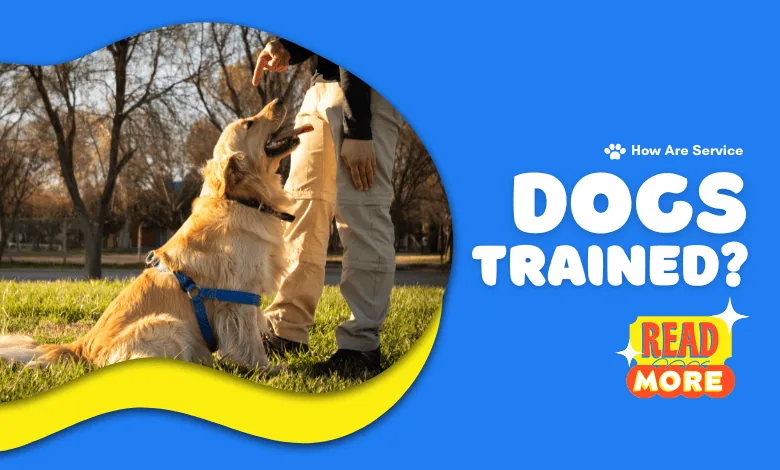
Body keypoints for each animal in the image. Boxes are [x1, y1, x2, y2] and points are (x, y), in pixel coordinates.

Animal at [0, 98, 310, 370]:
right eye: (249, 123)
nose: (280, 100)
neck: (241, 199)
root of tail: (81, 347)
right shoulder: (239, 296)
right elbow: (250, 340)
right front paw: (266, 368)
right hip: (169, 325)